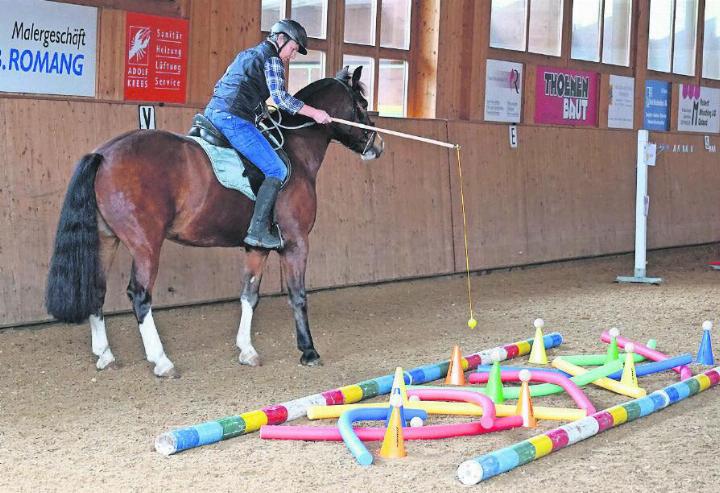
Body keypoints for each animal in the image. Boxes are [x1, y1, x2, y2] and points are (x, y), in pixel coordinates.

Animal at [45, 67, 382, 376]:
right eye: (362, 102)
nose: (377, 145)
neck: (294, 149)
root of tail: (103, 154)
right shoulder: (296, 242)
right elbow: (298, 296)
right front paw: (309, 351)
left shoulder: (257, 248)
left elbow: (249, 295)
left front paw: (247, 350)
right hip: (145, 245)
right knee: (140, 295)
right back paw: (161, 361)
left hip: (106, 240)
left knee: (97, 290)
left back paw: (106, 355)